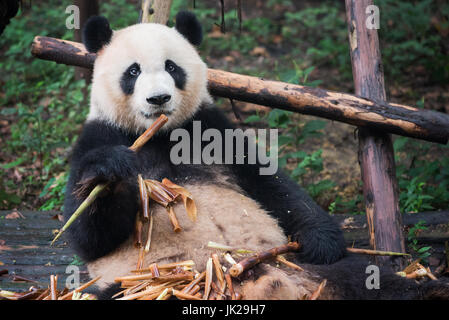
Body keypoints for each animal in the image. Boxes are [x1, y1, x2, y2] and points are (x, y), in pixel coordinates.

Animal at [63, 10, 448, 300]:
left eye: (172, 67)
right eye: (133, 71)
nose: (158, 99)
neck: (160, 134)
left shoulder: (213, 129)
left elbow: (274, 186)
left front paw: (322, 240)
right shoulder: (99, 135)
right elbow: (90, 235)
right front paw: (109, 172)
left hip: (297, 264)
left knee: (368, 276)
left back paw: (429, 289)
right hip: (149, 285)